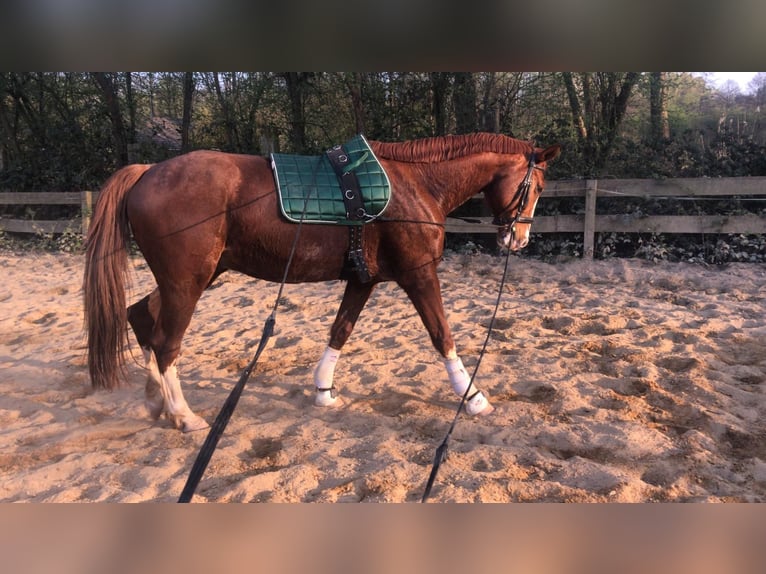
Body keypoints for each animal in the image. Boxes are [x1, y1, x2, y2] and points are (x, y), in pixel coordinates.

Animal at [84, 134, 560, 432]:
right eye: (536, 186)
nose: (518, 239)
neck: (416, 183)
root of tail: (148, 171)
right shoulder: (419, 274)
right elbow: (442, 334)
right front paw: (472, 395)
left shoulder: (364, 279)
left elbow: (340, 330)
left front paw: (323, 390)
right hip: (188, 281)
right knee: (167, 343)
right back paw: (183, 415)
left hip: (192, 278)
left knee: (141, 317)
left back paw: (155, 400)